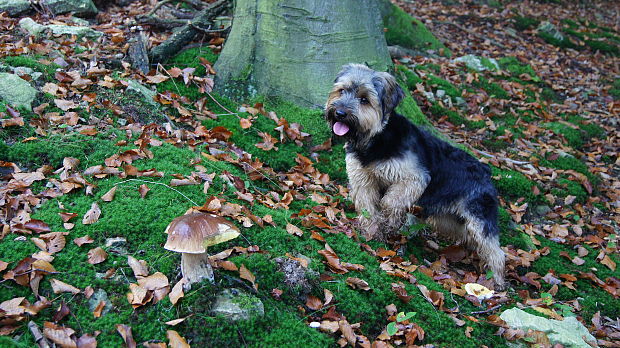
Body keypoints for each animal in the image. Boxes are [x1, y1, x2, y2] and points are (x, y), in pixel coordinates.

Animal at [324, 64, 504, 286]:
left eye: (364, 99)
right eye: (342, 91)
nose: (340, 113)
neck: (376, 140)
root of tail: (486, 171)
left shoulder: (414, 178)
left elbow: (390, 201)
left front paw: (390, 223)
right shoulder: (362, 180)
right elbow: (368, 208)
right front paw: (372, 233)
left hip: (478, 215)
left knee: (496, 250)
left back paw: (497, 281)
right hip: (448, 219)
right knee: (469, 236)